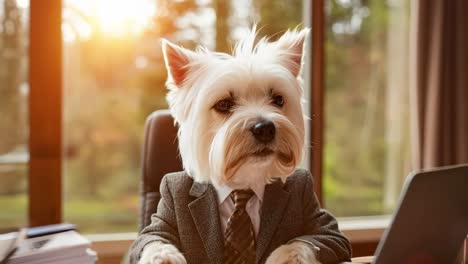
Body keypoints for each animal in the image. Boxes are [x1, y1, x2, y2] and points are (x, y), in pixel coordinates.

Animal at [132, 26, 352, 264]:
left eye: (278, 99)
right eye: (224, 104)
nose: (265, 128)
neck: (243, 180)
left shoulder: (322, 222)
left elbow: (307, 239)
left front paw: (286, 257)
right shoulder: (163, 217)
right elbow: (153, 239)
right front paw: (164, 257)